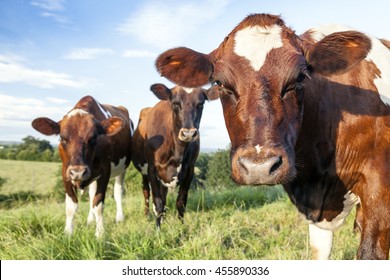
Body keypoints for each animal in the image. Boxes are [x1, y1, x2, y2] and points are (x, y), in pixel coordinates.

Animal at [32, 95, 133, 236]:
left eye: (93, 138)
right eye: (62, 138)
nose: (78, 172)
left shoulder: (105, 171)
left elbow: (98, 203)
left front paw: (100, 233)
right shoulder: (66, 172)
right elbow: (71, 205)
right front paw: (68, 233)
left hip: (122, 169)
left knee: (118, 192)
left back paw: (119, 218)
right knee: (91, 194)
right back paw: (90, 220)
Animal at [130, 82, 216, 228]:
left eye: (201, 103)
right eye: (175, 103)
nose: (188, 133)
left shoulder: (190, 169)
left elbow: (181, 202)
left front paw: (181, 227)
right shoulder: (152, 169)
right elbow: (157, 202)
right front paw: (158, 229)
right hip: (144, 172)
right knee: (146, 193)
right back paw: (148, 216)